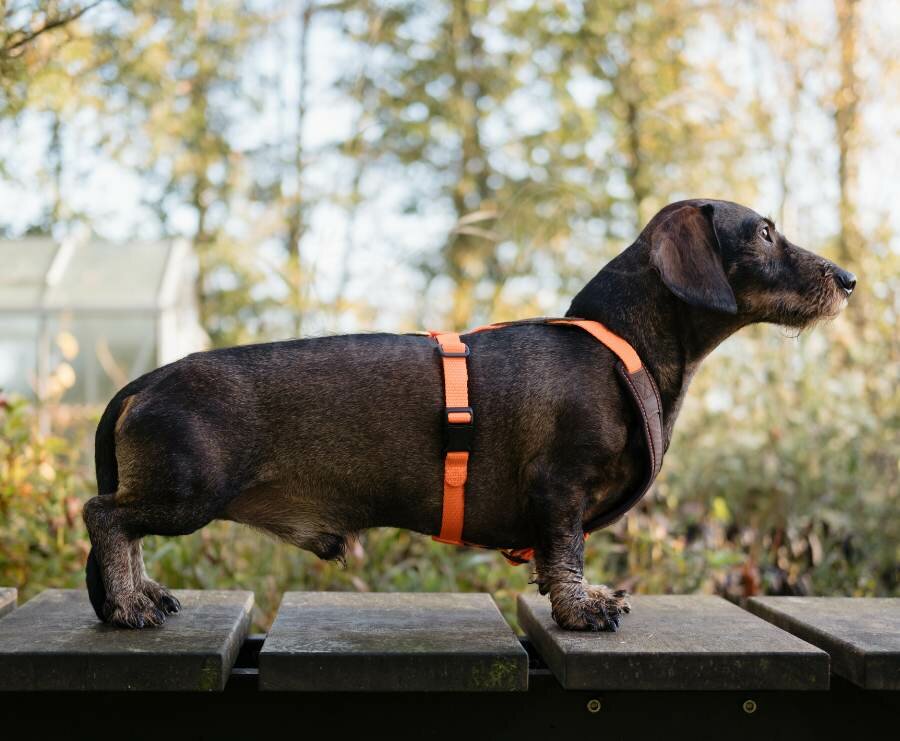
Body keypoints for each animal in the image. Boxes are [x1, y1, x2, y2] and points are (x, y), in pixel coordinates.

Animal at [82, 199, 855, 631]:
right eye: (764, 232)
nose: (850, 279)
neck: (616, 344)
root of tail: (145, 379)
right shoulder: (561, 487)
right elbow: (566, 554)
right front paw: (582, 609)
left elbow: (552, 560)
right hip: (188, 490)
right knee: (106, 518)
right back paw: (127, 604)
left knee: (122, 527)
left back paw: (139, 594)